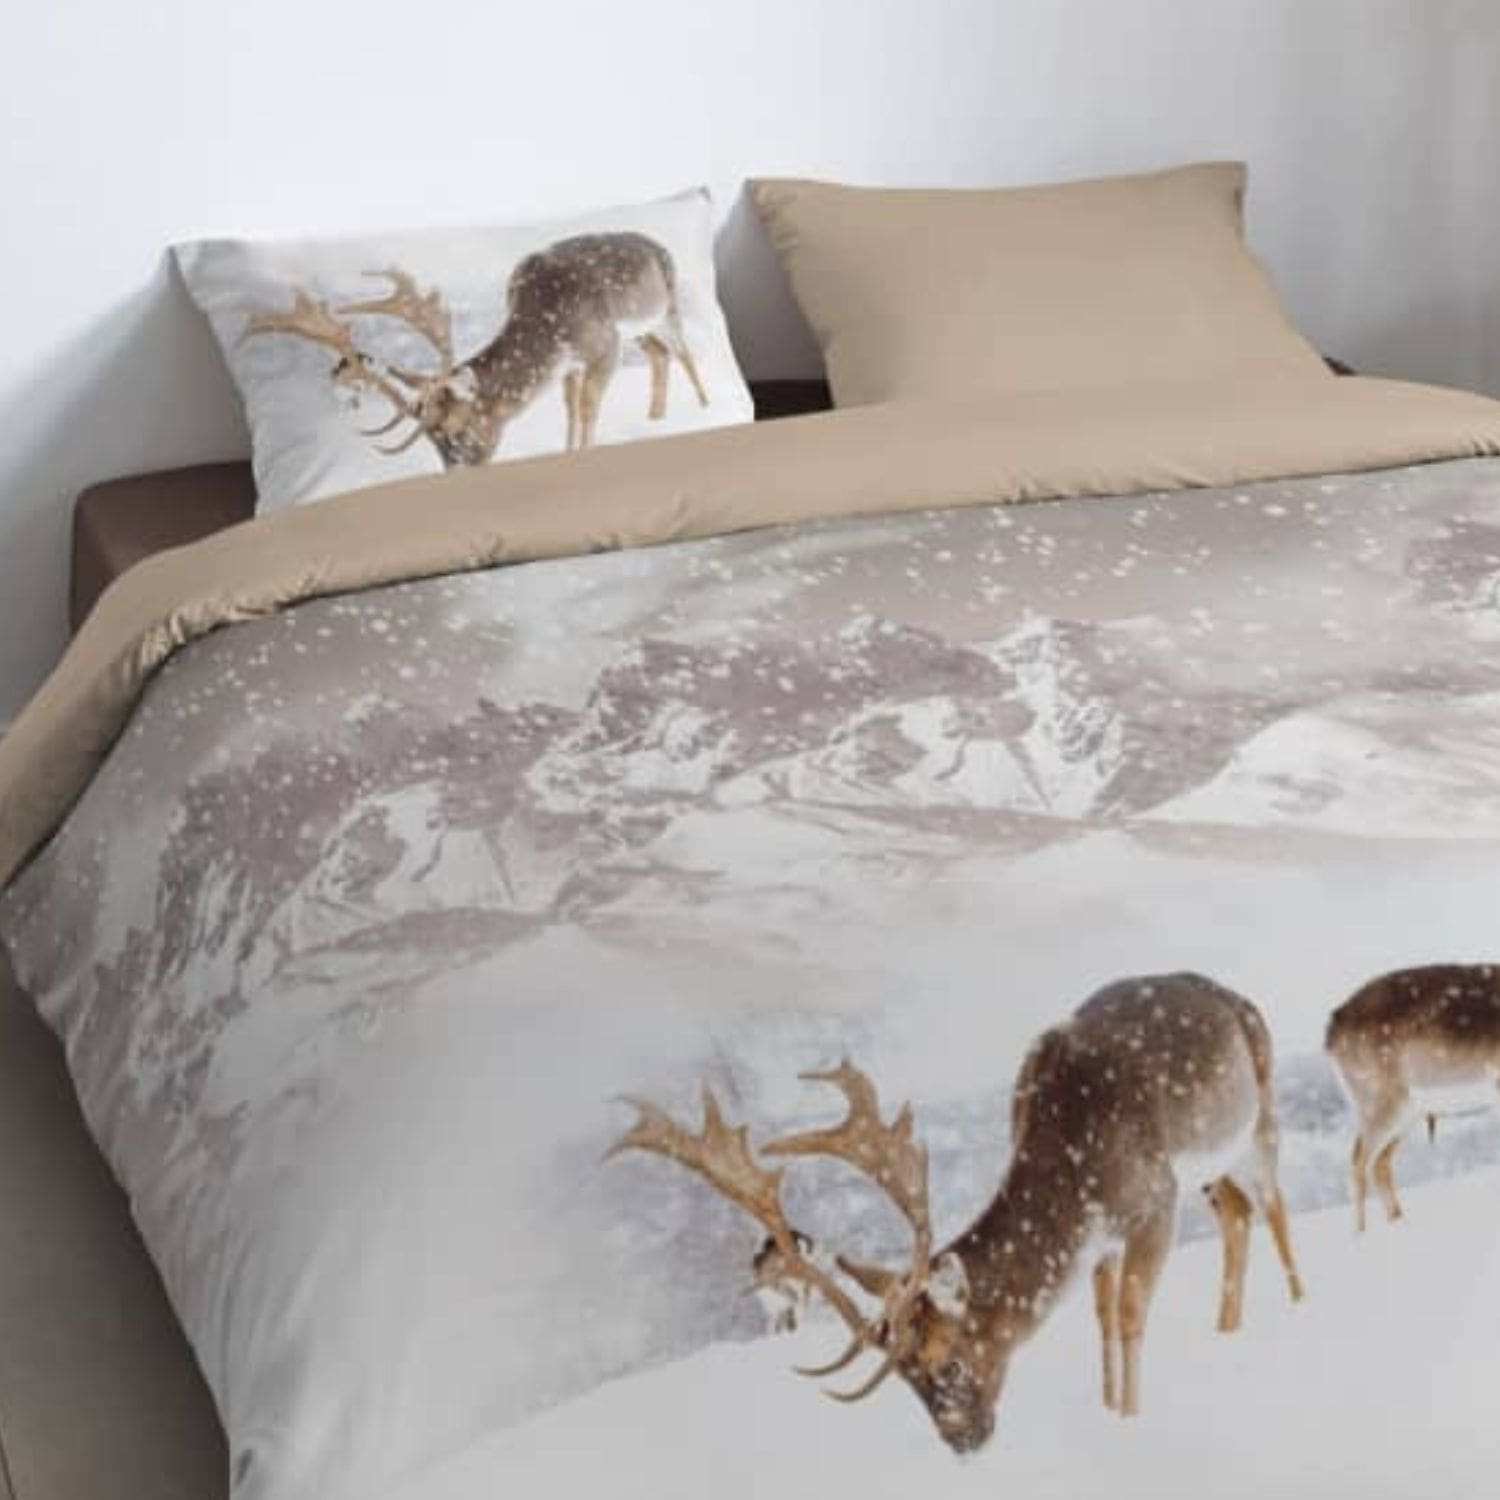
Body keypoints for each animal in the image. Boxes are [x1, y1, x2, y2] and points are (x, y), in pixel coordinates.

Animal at [241, 232, 708, 468]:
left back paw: (704, 410)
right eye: (431, 442)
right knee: (660, 354)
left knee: (684, 350)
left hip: (666, 306)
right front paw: (566, 454)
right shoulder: (572, 364)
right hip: (641, 330)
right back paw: (658, 419)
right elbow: (571, 410)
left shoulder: (603, 348)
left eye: (456, 430)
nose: (459, 476)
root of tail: (658, 244)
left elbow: (589, 408)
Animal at [610, 973, 1305, 1455]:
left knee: (1273, 1204)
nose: (963, 1443)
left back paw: (1301, 1306)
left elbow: (1131, 1316)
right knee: (1235, 1214)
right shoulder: (1102, 1236)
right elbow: (1102, 1315)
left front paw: (1131, 1419)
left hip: (1260, 1112)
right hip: (1215, 1166)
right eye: (904, 1381)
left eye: (949, 1361)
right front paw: (1106, 1406)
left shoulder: (1152, 1203)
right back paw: (1227, 1329)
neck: (1078, 1167)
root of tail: (1234, 994)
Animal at [1326, 964, 1500, 1233]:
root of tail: (1332, 1028)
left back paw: (1398, 1221)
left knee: (1379, 1163)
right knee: (1359, 1161)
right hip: (1383, 1101)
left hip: (1408, 1112)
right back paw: (1362, 1235)